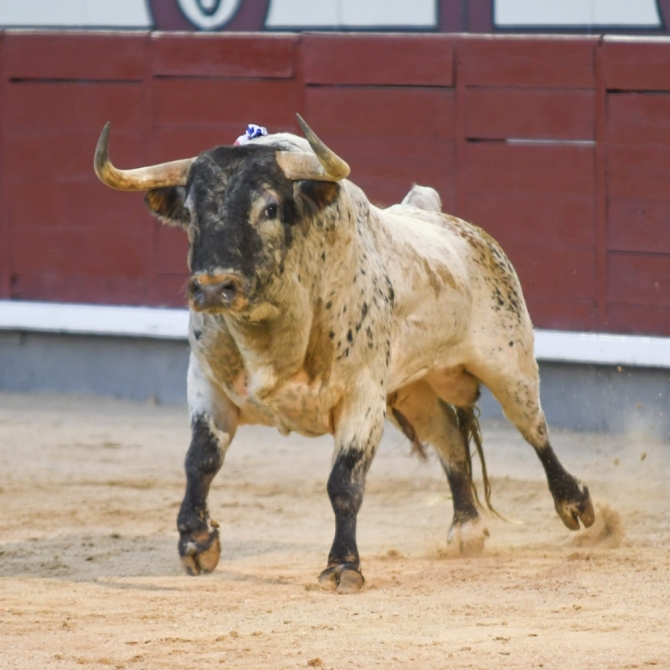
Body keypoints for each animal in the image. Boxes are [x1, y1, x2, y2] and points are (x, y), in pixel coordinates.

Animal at [93, 115, 592, 592]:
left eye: (269, 208)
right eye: (191, 212)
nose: (214, 287)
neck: (273, 332)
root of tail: (459, 228)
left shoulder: (362, 396)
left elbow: (344, 482)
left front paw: (343, 566)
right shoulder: (207, 382)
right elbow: (200, 461)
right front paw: (196, 542)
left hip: (509, 363)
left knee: (534, 429)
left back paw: (576, 505)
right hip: (414, 388)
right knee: (451, 440)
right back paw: (466, 531)